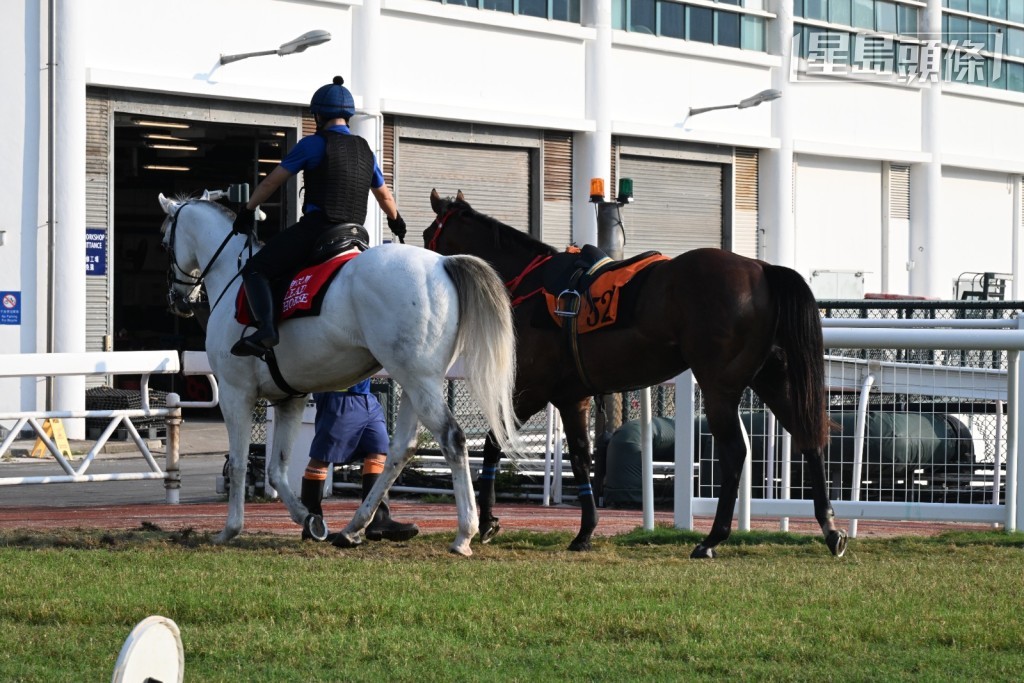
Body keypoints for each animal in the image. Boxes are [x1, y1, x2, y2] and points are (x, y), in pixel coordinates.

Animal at [157, 192, 519, 556]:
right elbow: (277, 469)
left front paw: (231, 529)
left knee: (451, 439)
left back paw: (463, 534)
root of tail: (444, 264)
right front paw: (309, 519)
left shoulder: (235, 393)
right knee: (401, 448)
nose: (177, 299)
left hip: (419, 382)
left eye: (164, 241)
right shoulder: (289, 399)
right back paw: (354, 528)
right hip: (416, 382)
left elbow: (239, 462)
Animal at [424, 189, 847, 559]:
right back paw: (830, 530)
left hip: (719, 387)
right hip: (773, 378)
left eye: (429, 234)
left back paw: (712, 539)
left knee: (735, 454)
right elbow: (581, 459)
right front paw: (585, 532)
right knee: (809, 439)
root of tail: (761, 269)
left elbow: (494, 443)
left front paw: (488, 521)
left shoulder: (532, 389)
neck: (532, 286)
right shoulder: (571, 397)